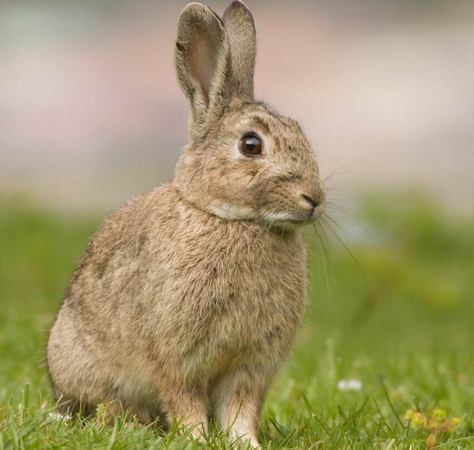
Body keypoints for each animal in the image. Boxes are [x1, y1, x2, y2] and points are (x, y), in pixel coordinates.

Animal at [48, 0, 326, 446]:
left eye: (299, 130)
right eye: (251, 144)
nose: (314, 198)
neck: (234, 220)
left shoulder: (250, 366)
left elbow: (240, 409)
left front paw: (245, 443)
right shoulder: (177, 359)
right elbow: (185, 402)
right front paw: (196, 439)